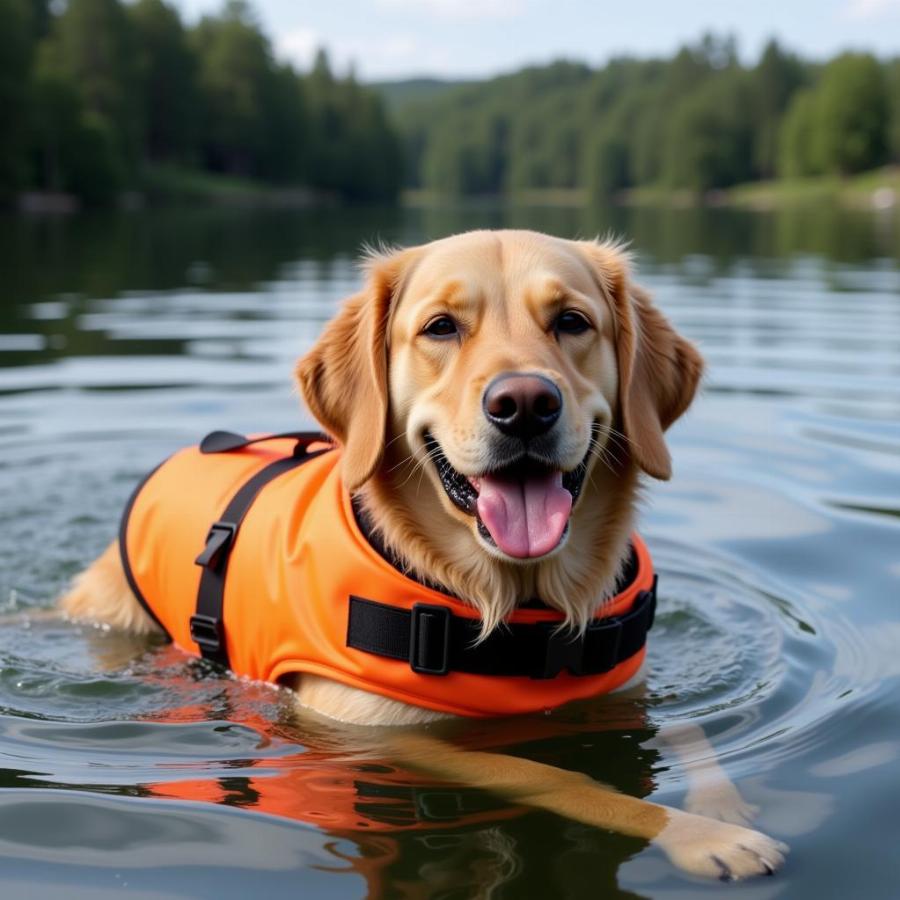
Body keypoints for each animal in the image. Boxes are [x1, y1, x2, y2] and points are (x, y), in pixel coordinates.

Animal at [63, 230, 788, 880]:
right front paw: (701, 835)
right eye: (441, 327)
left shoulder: (627, 692)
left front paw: (728, 806)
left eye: (572, 321)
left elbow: (688, 732)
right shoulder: (381, 731)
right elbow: (552, 777)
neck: (521, 602)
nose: (525, 405)